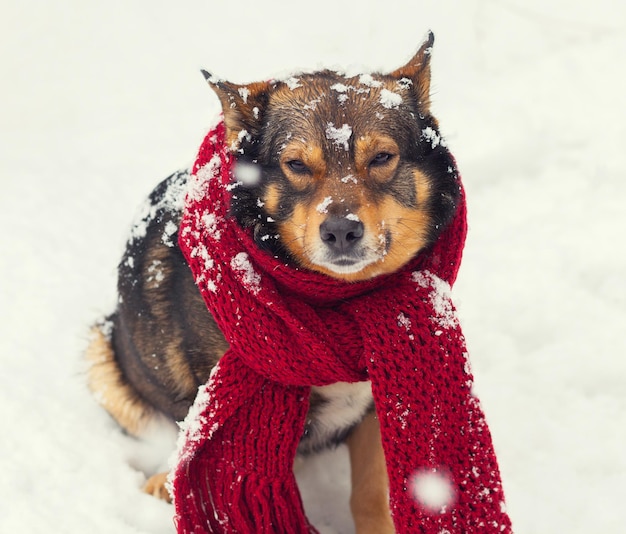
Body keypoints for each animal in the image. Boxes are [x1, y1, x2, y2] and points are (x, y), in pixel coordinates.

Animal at [85, 31, 458, 532]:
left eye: (382, 158)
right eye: (295, 165)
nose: (341, 231)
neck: (333, 302)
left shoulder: (375, 407)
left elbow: (369, 497)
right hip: (103, 357)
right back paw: (164, 479)